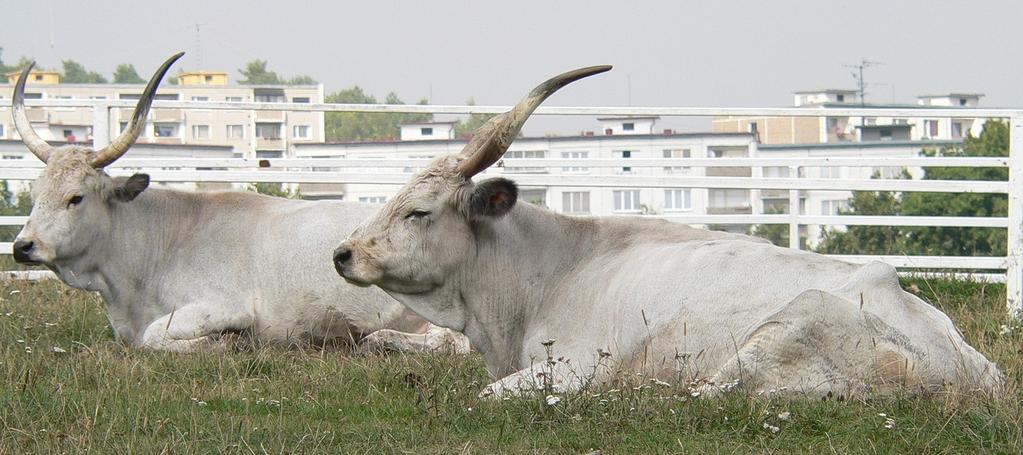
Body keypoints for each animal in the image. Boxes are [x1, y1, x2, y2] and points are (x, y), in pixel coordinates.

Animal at [9, 51, 468, 353]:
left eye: (75, 197)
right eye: (35, 193)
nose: (22, 246)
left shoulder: (222, 306)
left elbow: (153, 337)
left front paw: (225, 344)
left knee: (447, 342)